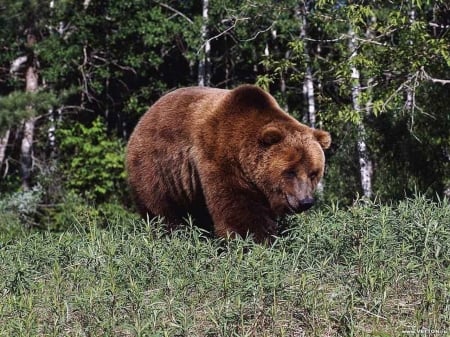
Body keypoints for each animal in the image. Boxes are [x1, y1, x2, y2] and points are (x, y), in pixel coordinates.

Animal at [126, 84, 330, 242]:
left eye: (313, 173)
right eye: (290, 171)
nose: (305, 201)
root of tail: (144, 116)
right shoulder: (219, 157)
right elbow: (238, 209)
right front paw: (255, 240)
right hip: (156, 167)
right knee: (161, 209)